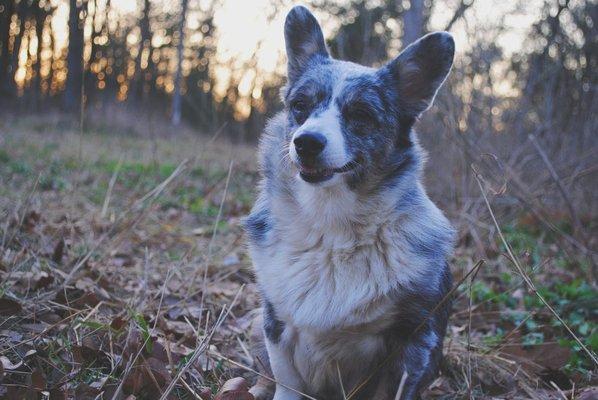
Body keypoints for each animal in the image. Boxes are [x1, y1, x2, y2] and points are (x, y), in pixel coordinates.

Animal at [244, 6, 454, 400]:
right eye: (300, 106)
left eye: (360, 115)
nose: (306, 143)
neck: (331, 226)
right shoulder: (277, 323)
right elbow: (286, 379)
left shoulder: (410, 343)